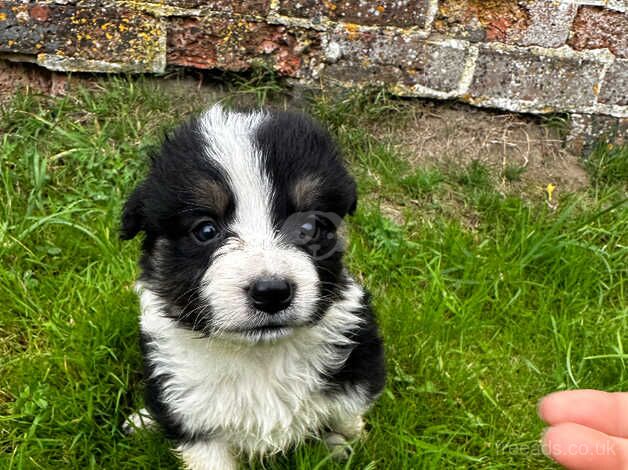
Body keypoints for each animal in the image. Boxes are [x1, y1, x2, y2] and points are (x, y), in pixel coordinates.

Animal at [120, 104, 386, 468]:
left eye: (308, 227)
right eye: (205, 230)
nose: (271, 292)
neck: (259, 356)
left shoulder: (357, 371)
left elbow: (347, 417)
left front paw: (344, 444)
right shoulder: (194, 418)